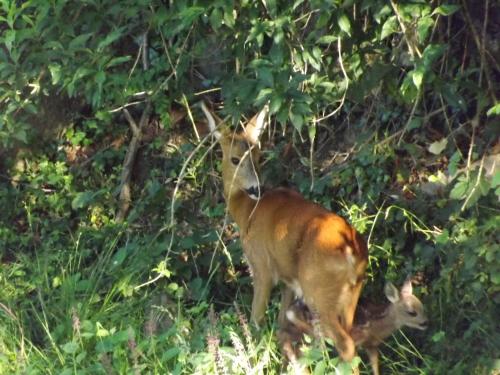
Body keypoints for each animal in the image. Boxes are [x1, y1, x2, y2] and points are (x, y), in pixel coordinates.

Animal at [201, 103, 370, 364]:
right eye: (235, 159)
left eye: (258, 157)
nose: (255, 188)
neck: (248, 212)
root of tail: (351, 248)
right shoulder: (288, 279)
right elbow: (282, 324)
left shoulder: (262, 266)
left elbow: (256, 320)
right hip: (351, 294)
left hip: (318, 291)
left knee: (346, 344)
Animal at [280, 280, 428, 374]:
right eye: (411, 312)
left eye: (422, 306)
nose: (426, 323)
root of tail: (290, 311)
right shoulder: (350, 343)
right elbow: (350, 368)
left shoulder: (371, 345)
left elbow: (375, 367)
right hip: (316, 335)